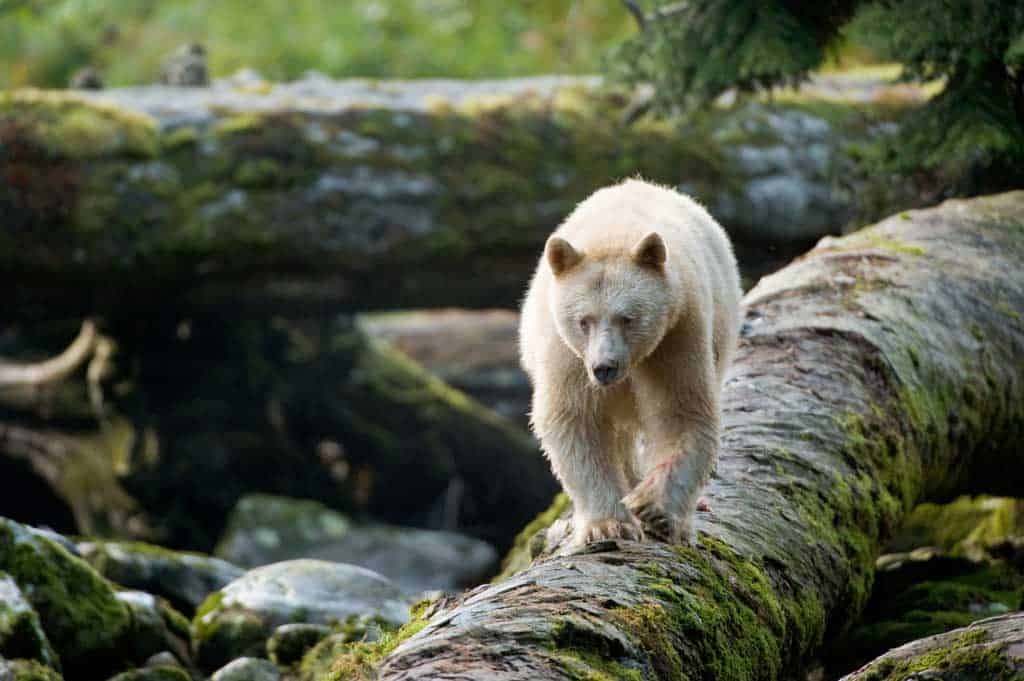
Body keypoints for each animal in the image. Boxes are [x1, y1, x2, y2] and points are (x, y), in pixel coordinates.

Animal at [519, 178, 742, 546]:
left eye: (628, 318)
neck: (615, 235)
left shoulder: (676, 335)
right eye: (584, 320)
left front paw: (653, 508)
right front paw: (609, 524)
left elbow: (681, 411)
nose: (604, 367)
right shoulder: (567, 353)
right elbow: (574, 417)